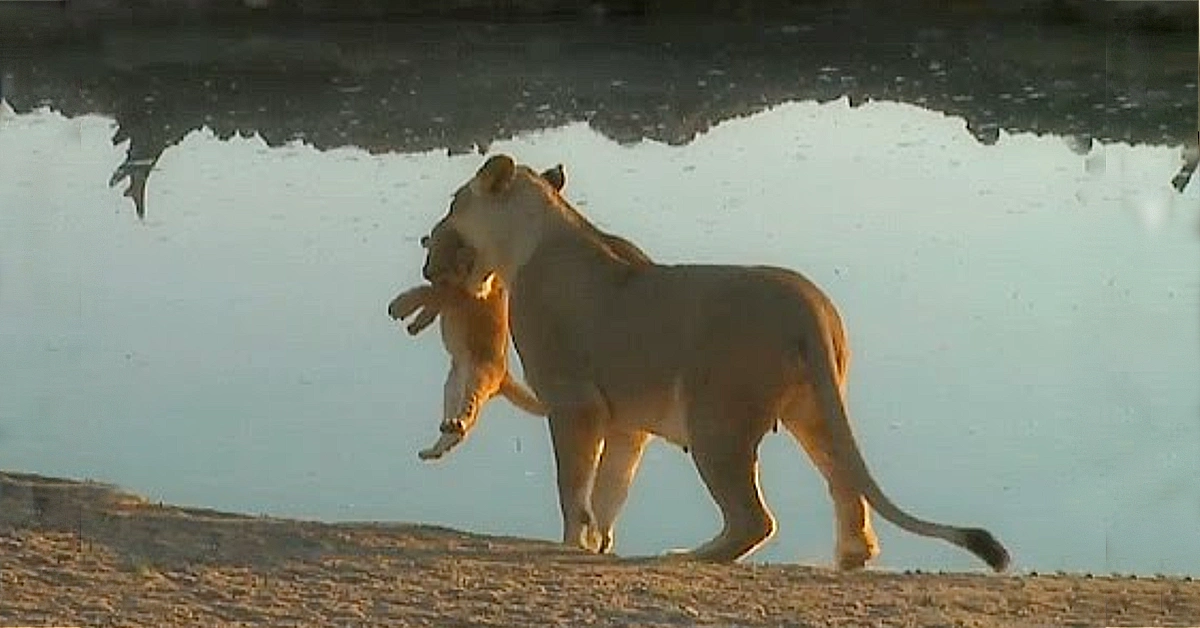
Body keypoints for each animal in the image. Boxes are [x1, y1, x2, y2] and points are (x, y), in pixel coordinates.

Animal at [389, 165, 650, 461]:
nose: (427, 266)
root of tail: (503, 378)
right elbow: (431, 301)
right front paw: (414, 323)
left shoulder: (463, 294)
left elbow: (430, 294)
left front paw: (401, 307)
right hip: (452, 386)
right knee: (453, 426)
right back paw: (433, 448)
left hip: (477, 379)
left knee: (469, 415)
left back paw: (453, 428)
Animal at [418, 154, 1010, 572]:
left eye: (452, 203)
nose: (426, 245)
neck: (538, 235)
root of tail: (807, 306)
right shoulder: (628, 422)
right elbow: (610, 489)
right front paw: (599, 543)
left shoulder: (574, 403)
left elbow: (574, 487)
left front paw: (573, 544)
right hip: (812, 411)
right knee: (845, 485)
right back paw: (848, 557)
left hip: (716, 422)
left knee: (754, 520)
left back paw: (685, 556)